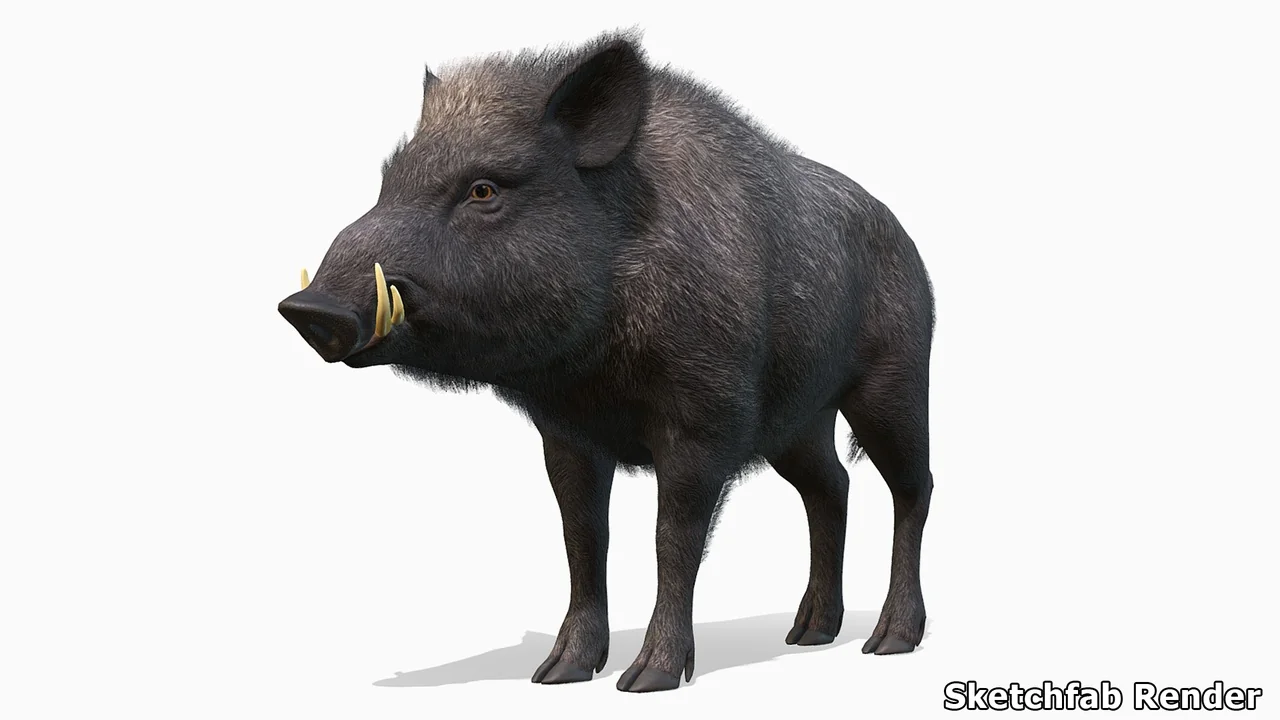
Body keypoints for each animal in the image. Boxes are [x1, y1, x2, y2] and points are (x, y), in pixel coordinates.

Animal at [278, 29, 935, 693]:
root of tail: (907, 240)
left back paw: (889, 642)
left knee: (913, 486)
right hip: (799, 422)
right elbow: (583, 537)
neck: (593, 365)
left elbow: (673, 539)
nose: (308, 308)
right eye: (389, 181)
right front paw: (557, 674)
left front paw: (646, 680)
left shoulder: (704, 418)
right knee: (832, 487)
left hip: (896, 382)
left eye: (484, 189)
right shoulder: (565, 431)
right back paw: (807, 634)